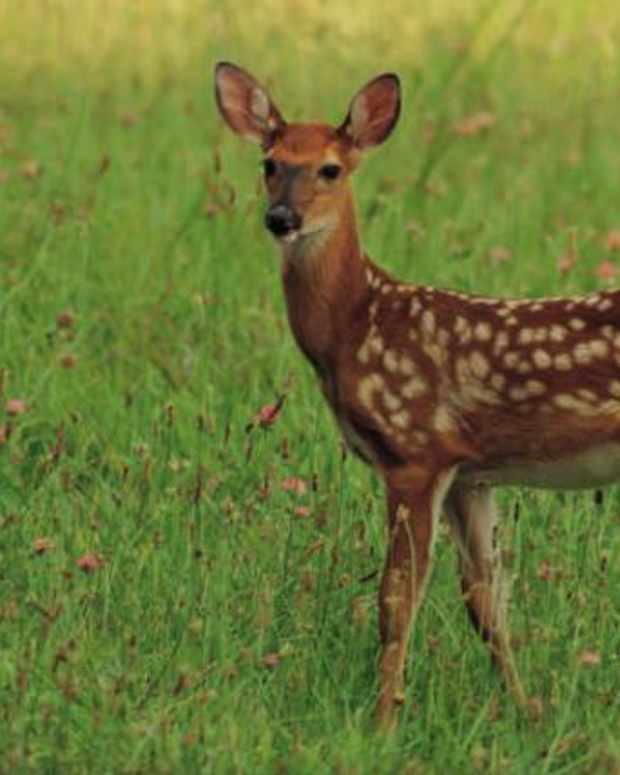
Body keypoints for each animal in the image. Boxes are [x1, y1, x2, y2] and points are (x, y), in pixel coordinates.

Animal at [214, 62, 620, 728]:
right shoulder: (470, 474)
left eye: (331, 168)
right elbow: (485, 603)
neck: (356, 324)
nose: (281, 218)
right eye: (269, 162)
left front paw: (381, 721)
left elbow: (396, 599)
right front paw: (525, 710)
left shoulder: (415, 452)